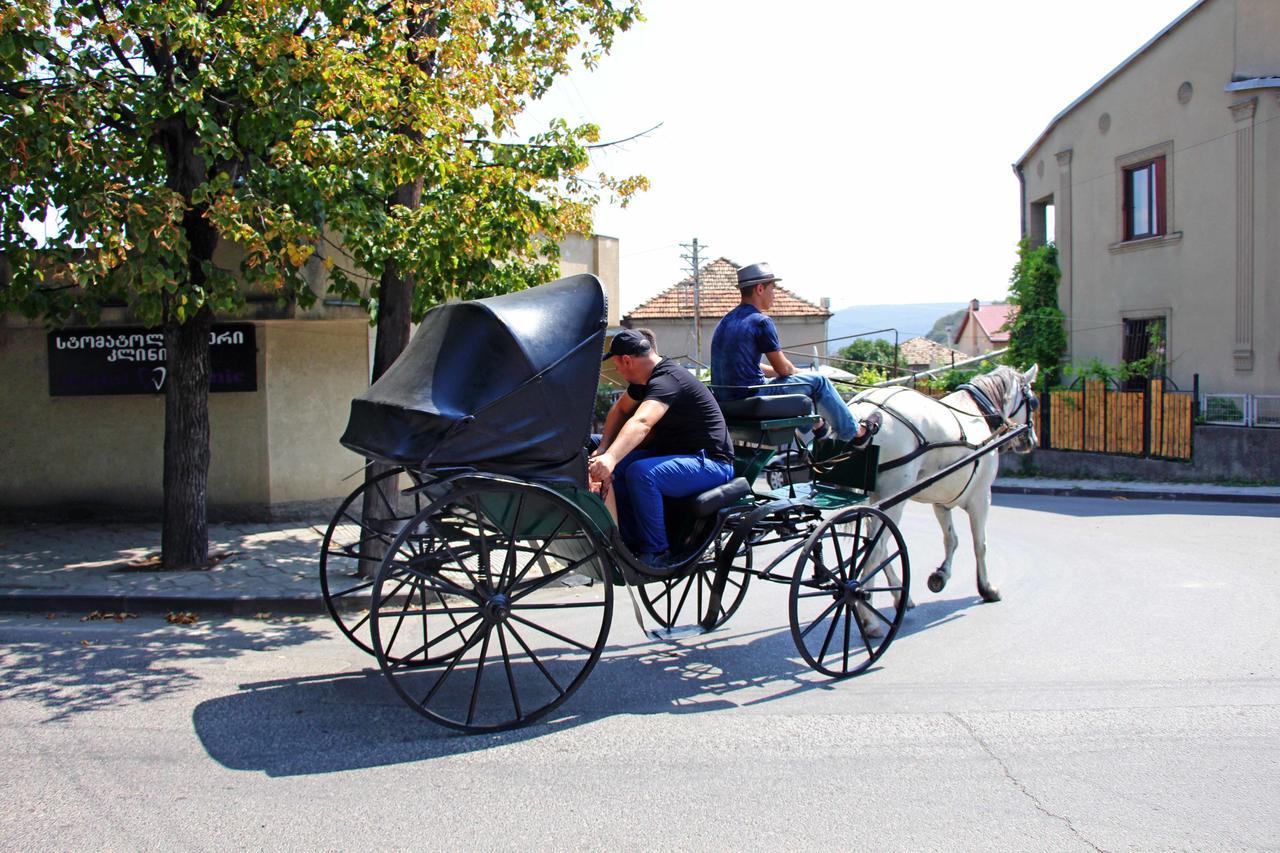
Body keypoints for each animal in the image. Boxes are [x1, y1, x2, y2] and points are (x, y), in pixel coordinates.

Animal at [849, 361, 1039, 601]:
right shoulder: (981, 497)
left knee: (871, 545)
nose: (1031, 441)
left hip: (876, 499)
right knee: (876, 550)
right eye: (1034, 401)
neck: (977, 411)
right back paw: (864, 604)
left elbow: (952, 539)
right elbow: (980, 544)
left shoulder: (941, 502)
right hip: (892, 497)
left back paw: (898, 595)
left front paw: (941, 575)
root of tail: (864, 412)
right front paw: (986, 588)